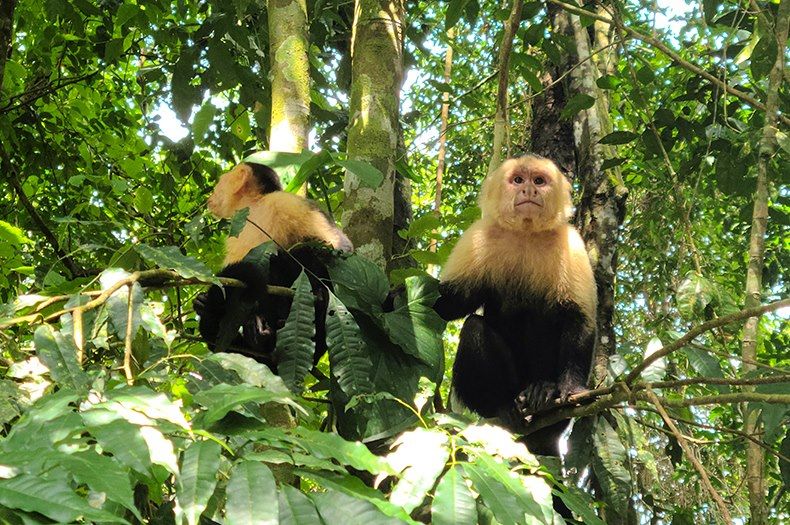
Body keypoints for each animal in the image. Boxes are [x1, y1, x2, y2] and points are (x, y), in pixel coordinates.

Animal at [193, 162, 354, 370]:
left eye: (220, 182)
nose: (211, 195)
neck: (254, 206)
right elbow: (230, 280)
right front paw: (207, 303)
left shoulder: (284, 201)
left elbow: (339, 248)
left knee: (298, 253)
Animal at [434, 154, 600, 456]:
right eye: (518, 180)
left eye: (539, 181)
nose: (529, 190)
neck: (526, 233)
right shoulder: (477, 237)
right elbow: (453, 303)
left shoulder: (571, 243)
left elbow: (579, 317)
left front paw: (571, 388)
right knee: (474, 327)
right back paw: (503, 406)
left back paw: (542, 392)